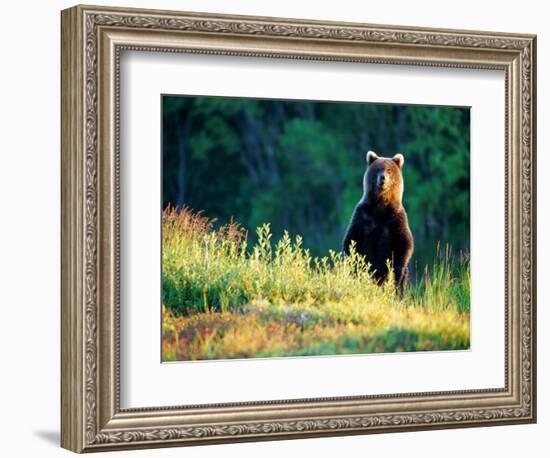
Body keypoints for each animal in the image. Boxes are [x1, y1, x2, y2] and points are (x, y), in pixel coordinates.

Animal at [342, 152, 416, 292]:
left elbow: (404, 244)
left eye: (389, 170)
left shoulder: (396, 219)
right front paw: (351, 261)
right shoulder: (363, 216)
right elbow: (352, 240)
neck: (380, 207)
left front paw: (397, 271)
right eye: (377, 169)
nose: (382, 178)